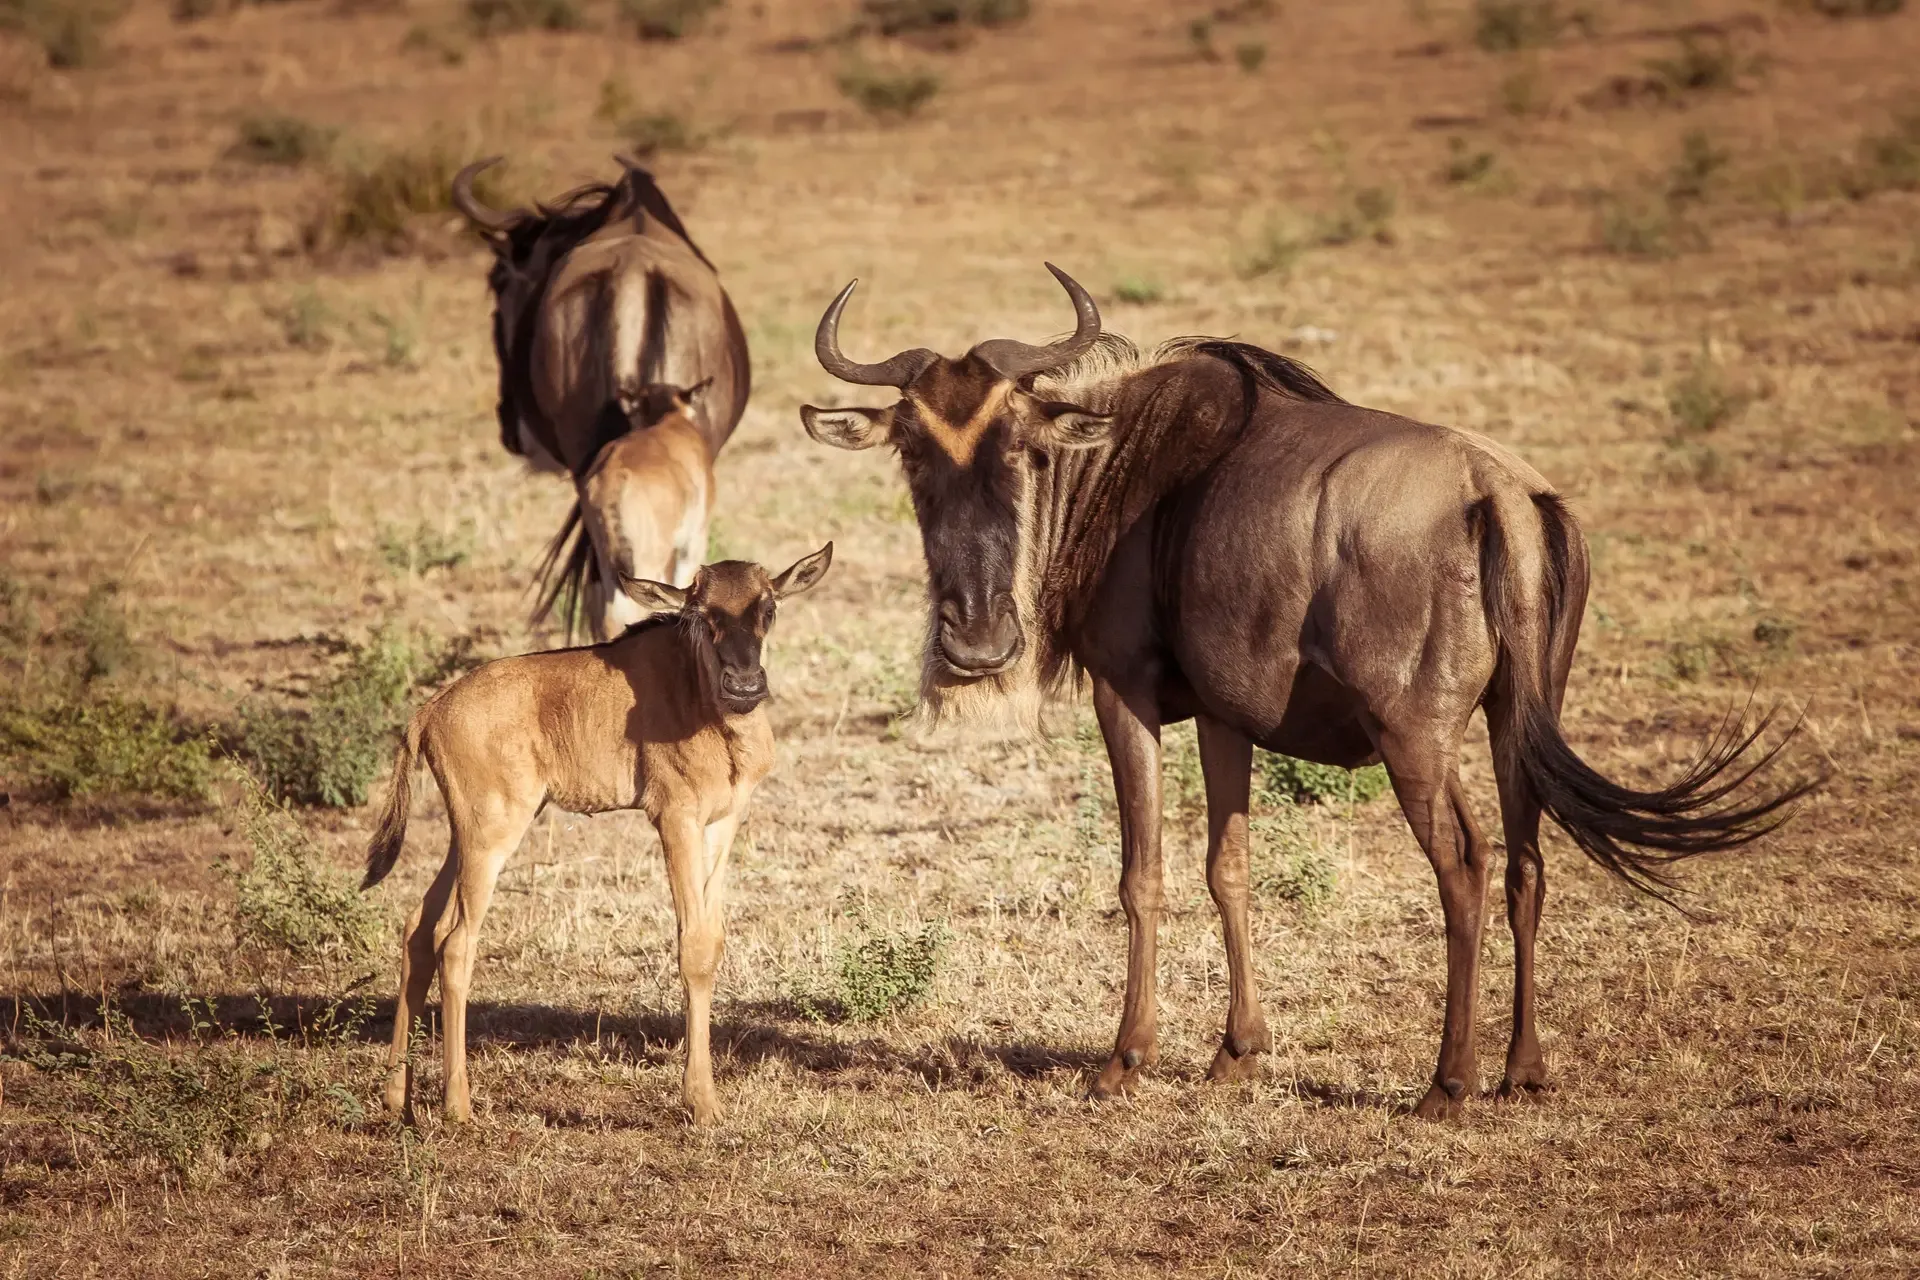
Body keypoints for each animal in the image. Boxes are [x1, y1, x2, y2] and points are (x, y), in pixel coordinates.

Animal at [361, 545, 833, 1124]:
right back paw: (458, 1106)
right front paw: (702, 1103)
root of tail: (430, 712)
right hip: (492, 835)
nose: (744, 685)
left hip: (466, 836)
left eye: (768, 606)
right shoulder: (674, 818)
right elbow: (693, 946)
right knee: (455, 942)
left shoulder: (722, 823)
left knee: (418, 929)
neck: (700, 695)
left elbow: (715, 939)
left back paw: (395, 1097)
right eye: (702, 614)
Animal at [800, 264, 1813, 1120]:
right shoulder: (1223, 712)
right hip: (1519, 722)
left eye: (1019, 449)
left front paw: (1125, 1060)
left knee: (1467, 865)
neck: (1118, 473)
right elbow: (1230, 869)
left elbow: (1142, 874)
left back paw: (1448, 1083)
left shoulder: (1125, 694)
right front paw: (1235, 1053)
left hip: (1416, 736)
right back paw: (1522, 1071)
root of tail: (1499, 493)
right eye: (911, 452)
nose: (976, 640)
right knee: (1529, 862)